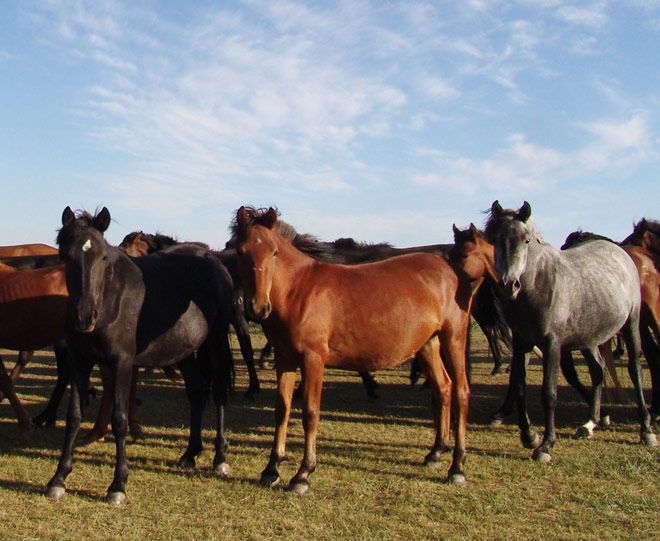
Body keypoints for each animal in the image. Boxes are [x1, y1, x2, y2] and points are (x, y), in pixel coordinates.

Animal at [45, 208, 235, 506]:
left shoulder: (122, 362)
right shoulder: (79, 361)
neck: (110, 300)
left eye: (103, 257)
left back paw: (220, 458)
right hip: (184, 349)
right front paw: (59, 478)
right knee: (196, 390)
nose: (85, 316)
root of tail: (213, 261)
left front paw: (118, 485)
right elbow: (74, 416)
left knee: (219, 391)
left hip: (215, 342)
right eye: (65, 255)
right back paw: (190, 453)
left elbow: (120, 420)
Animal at [232, 208, 474, 494]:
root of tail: (449, 270)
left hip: (453, 338)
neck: (298, 290)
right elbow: (282, 410)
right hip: (428, 344)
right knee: (443, 388)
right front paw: (271, 469)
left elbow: (310, 413)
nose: (258, 308)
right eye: (240, 251)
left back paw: (457, 467)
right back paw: (435, 453)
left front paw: (303, 474)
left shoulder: (313, 359)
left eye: (274, 252)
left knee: (460, 392)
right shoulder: (285, 358)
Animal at [484, 200, 656, 462]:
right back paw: (590, 424)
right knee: (598, 371)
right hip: (590, 339)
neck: (540, 284)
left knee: (635, 370)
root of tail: (619, 251)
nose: (508, 285)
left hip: (632, 324)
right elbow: (520, 387)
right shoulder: (522, 342)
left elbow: (549, 393)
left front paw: (545, 445)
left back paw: (646, 430)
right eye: (494, 239)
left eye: (526, 240)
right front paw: (529, 436)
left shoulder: (552, 344)